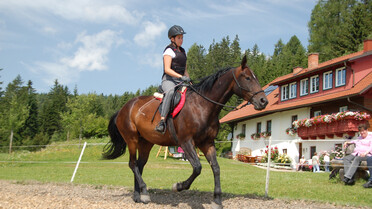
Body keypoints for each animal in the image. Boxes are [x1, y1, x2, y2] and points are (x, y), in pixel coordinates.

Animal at [103, 55, 268, 207]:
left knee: (139, 165)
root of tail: (124, 108)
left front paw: (217, 200)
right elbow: (197, 167)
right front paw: (178, 186)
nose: (263, 101)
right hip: (132, 139)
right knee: (132, 164)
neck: (203, 105)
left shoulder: (207, 143)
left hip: (146, 142)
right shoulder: (186, 142)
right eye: (247, 78)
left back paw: (139, 196)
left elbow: (216, 168)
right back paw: (144, 191)